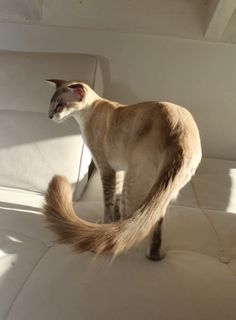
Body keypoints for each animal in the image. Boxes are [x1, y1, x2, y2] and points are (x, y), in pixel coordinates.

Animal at [43, 79, 201, 260]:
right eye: (50, 104)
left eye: (59, 105)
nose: (49, 116)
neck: (86, 115)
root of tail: (179, 133)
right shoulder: (117, 170)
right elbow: (115, 200)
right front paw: (112, 221)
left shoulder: (105, 168)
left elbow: (108, 202)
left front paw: (105, 223)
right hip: (158, 194)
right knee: (153, 223)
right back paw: (155, 256)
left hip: (132, 186)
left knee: (126, 232)